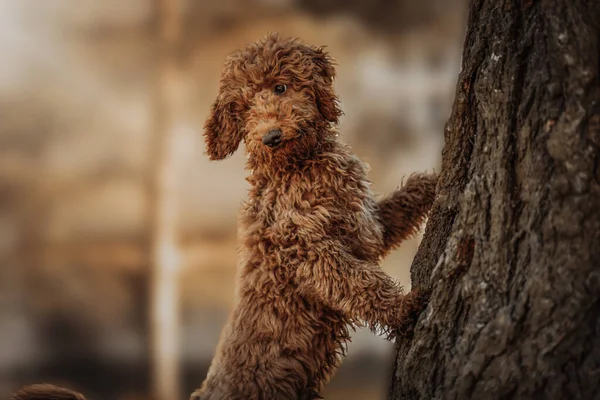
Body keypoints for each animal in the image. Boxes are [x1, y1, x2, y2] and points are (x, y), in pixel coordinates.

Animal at [192, 33, 436, 400]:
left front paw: (436, 182)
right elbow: (357, 281)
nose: (271, 137)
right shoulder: (308, 250)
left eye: (279, 87)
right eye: (244, 107)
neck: (298, 166)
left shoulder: (367, 226)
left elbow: (403, 202)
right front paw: (402, 308)